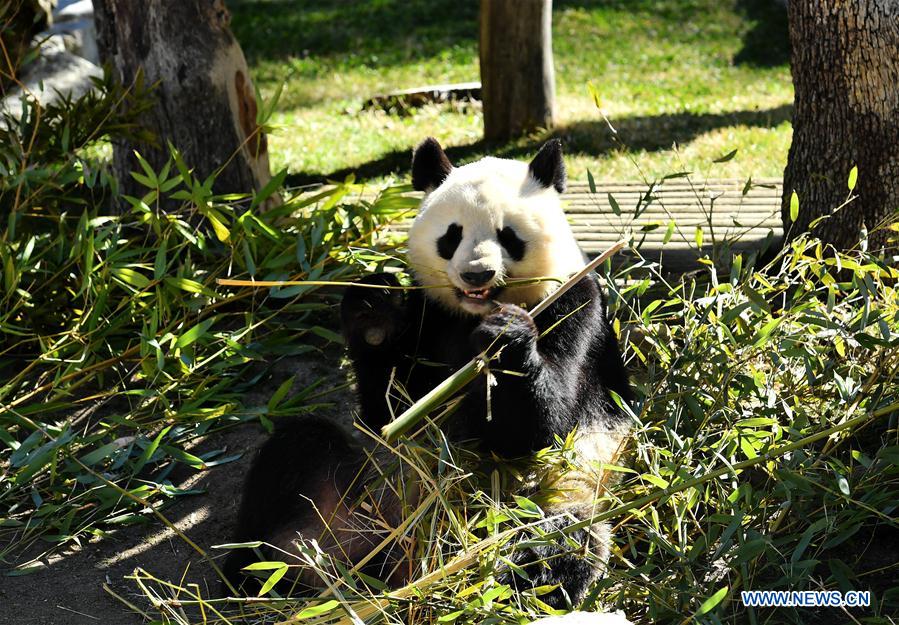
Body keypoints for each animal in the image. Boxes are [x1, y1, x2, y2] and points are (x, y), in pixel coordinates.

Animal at [223, 136, 632, 604]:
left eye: (508, 236)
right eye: (451, 235)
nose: (477, 274)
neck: (472, 313)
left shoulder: (575, 302)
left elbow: (542, 426)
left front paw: (505, 338)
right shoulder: (429, 316)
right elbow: (387, 411)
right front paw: (374, 312)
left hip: (552, 491)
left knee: (556, 541)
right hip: (360, 485)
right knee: (298, 449)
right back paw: (261, 571)